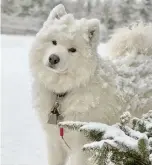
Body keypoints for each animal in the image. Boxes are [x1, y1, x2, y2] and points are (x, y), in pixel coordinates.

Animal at [28, 3, 152, 165]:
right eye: (54, 42)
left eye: (72, 50)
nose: (53, 58)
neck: (64, 93)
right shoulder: (54, 142)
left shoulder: (84, 146)